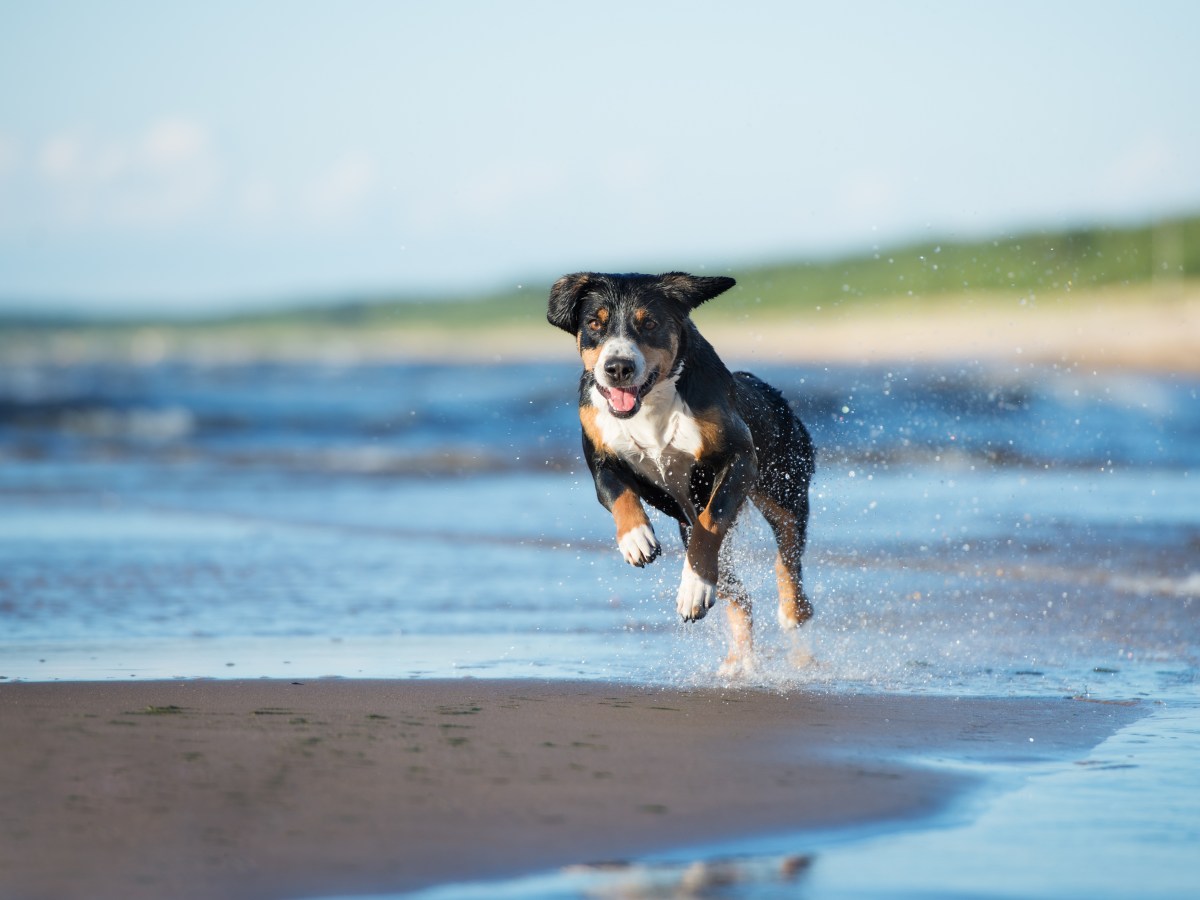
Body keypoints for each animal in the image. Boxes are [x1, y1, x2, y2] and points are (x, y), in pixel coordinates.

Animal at [549, 270, 816, 672]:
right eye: (595, 323)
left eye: (650, 323)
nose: (618, 368)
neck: (650, 404)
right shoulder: (599, 457)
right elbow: (618, 493)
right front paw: (636, 538)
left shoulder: (739, 459)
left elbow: (711, 523)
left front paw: (693, 589)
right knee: (740, 595)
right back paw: (738, 663)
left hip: (783, 487)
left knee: (787, 550)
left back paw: (792, 610)